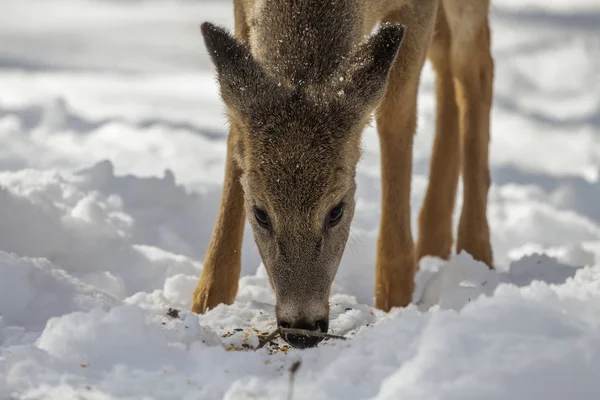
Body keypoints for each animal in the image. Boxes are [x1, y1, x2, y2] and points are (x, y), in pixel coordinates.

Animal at [191, 0, 492, 348]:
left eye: (336, 211)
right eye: (261, 214)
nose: (302, 328)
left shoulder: (417, 10)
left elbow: (395, 114)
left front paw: (394, 298)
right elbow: (235, 129)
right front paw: (207, 299)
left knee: (476, 63)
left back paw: (477, 255)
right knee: (448, 59)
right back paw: (435, 243)